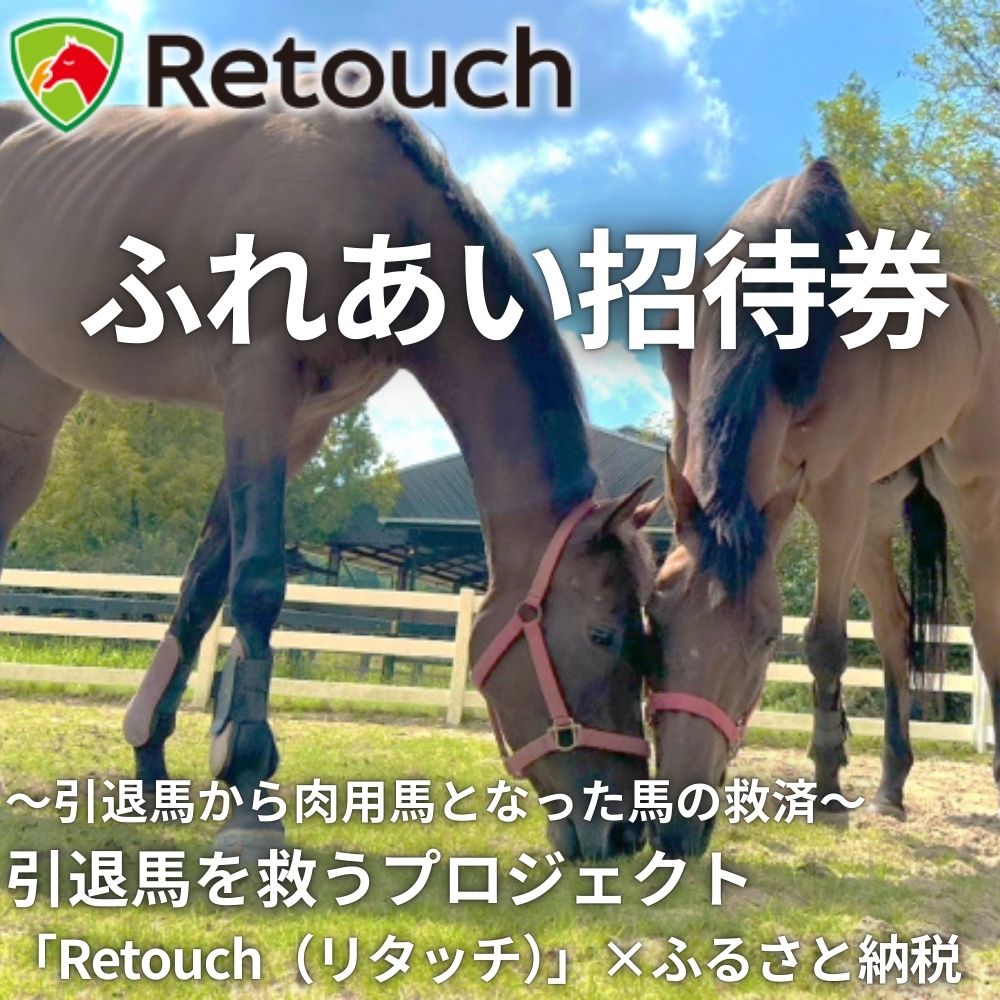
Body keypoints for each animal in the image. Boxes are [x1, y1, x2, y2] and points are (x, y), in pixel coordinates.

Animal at [0, 93, 659, 861]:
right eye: (602, 635)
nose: (625, 832)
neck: (384, 212)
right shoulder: (259, 386)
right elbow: (257, 581)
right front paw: (248, 788)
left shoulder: (302, 423)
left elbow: (202, 589)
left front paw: (153, 760)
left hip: (32, 406)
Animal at [645, 158, 999, 858]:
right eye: (655, 618)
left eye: (764, 640)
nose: (675, 827)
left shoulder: (836, 489)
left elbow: (826, 643)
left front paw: (830, 786)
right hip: (876, 513)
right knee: (893, 625)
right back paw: (891, 786)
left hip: (963, 495)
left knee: (986, 630)